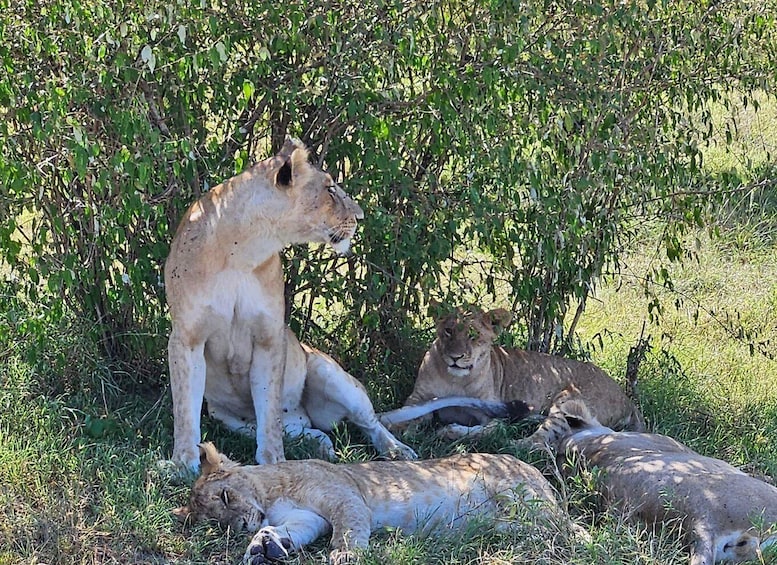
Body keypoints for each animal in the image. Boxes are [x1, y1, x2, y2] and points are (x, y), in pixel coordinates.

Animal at [164, 138, 418, 468]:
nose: (360, 216)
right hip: (233, 419)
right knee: (309, 431)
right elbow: (185, 408)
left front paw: (273, 462)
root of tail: (302, 416)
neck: (241, 253)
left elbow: (269, 409)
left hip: (332, 374)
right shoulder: (187, 338)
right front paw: (183, 462)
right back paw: (322, 448)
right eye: (330, 189)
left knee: (370, 422)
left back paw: (397, 450)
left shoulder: (270, 337)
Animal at [174, 440, 564, 564]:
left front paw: (346, 556)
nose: (241, 525)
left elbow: (348, 529)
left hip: (516, 493)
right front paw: (262, 546)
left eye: (226, 496)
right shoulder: (309, 518)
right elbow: (288, 530)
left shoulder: (345, 497)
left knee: (564, 531)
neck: (269, 495)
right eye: (217, 523)